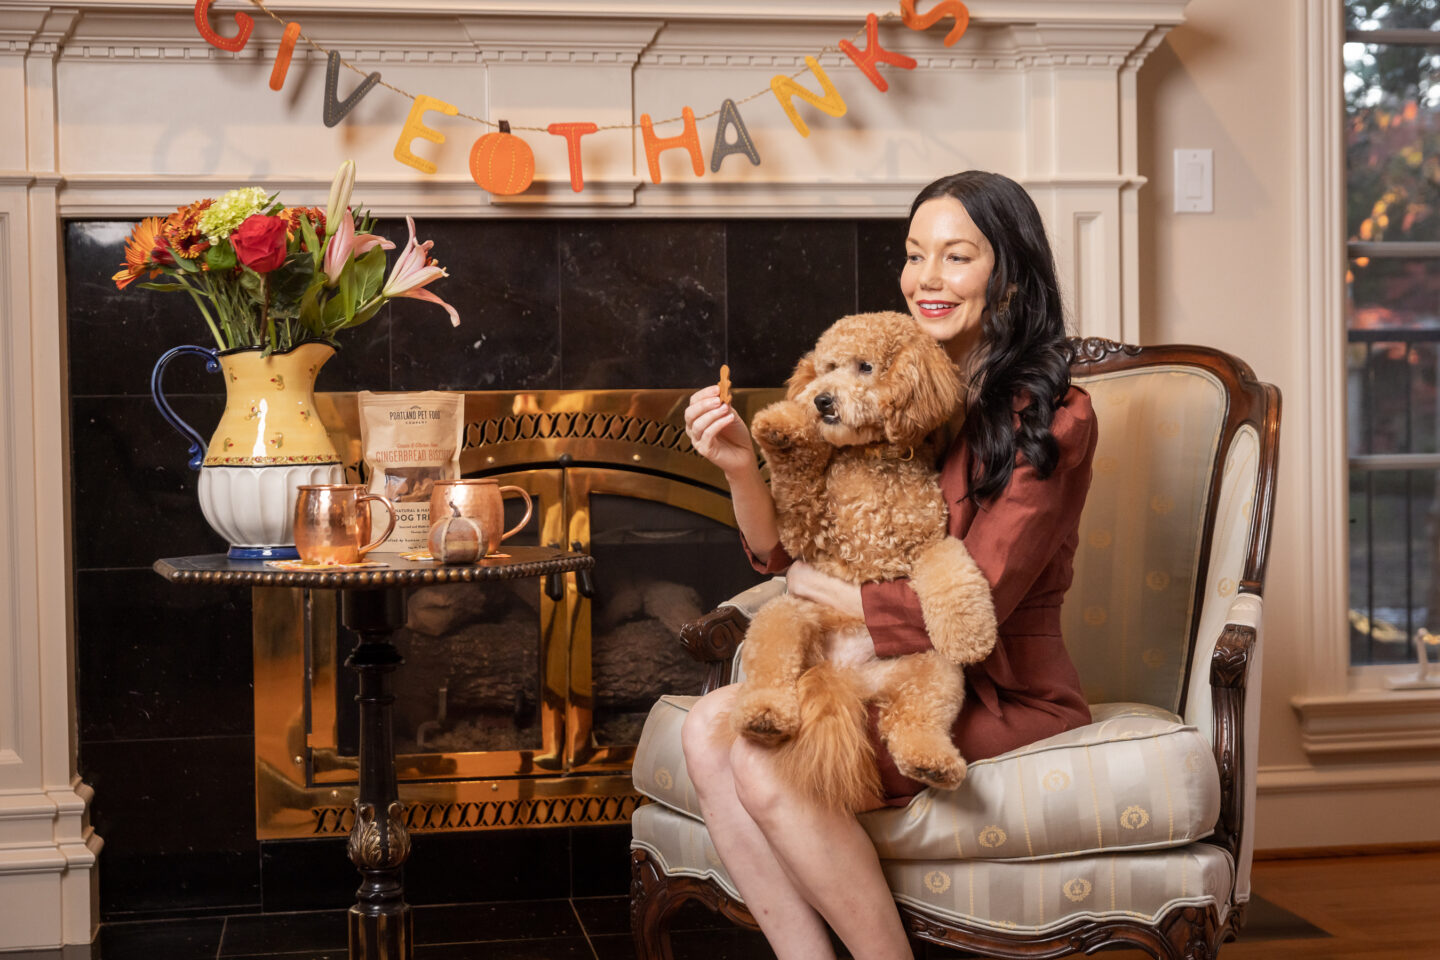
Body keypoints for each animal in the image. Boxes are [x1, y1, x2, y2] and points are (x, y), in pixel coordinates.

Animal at [737, 309, 996, 811]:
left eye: (865, 367)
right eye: (827, 368)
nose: (822, 400)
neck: (875, 457)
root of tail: (847, 679)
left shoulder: (929, 540)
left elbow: (950, 567)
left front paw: (970, 632)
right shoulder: (807, 529)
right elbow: (795, 484)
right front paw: (782, 427)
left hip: (932, 671)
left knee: (911, 722)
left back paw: (932, 762)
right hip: (785, 618)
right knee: (770, 673)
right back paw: (765, 716)